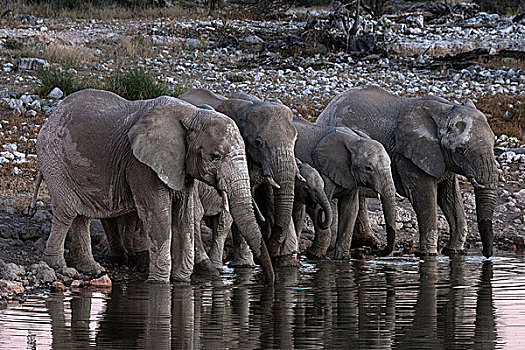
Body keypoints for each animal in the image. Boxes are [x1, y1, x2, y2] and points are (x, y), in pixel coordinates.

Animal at [35, 88, 274, 284]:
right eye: (215, 156)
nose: (268, 282)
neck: (192, 114)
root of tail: (51, 117)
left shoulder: (180, 167)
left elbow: (184, 216)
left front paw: (181, 280)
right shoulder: (140, 164)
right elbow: (158, 214)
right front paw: (159, 282)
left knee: (82, 214)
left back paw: (92, 269)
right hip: (53, 158)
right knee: (67, 211)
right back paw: (57, 266)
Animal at [178, 89, 298, 264]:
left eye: (295, 139)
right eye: (258, 142)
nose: (269, 249)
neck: (247, 106)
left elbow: (270, 196)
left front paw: (287, 259)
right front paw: (246, 264)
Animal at [292, 116, 396, 258]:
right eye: (368, 168)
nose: (379, 251)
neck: (354, 140)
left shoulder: (351, 176)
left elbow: (351, 208)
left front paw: (343, 258)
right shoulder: (324, 170)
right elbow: (320, 207)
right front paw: (315, 255)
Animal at [318, 85, 498, 258]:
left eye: (494, 142)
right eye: (460, 149)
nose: (486, 255)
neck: (444, 112)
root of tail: (325, 110)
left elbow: (449, 198)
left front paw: (453, 251)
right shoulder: (408, 157)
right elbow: (424, 198)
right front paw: (428, 254)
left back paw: (369, 243)